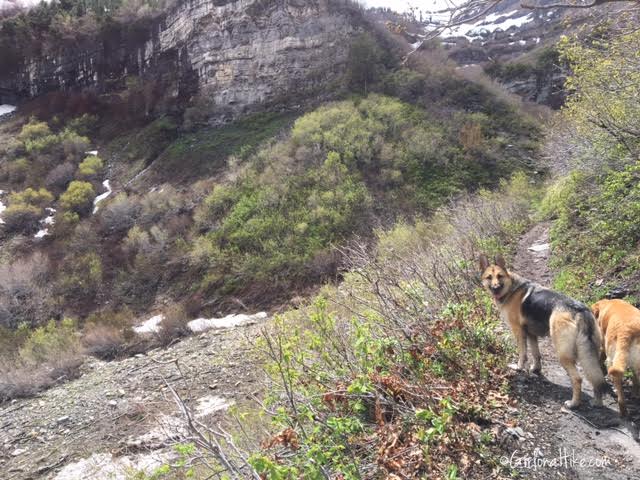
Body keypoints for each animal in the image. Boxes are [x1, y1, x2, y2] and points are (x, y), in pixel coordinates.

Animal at [480, 255, 604, 408]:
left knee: (577, 379)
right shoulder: (531, 334)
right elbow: (536, 354)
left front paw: (519, 368)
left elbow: (522, 354)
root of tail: (579, 310)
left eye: (500, 276)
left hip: (563, 354)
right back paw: (597, 402)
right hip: (591, 355)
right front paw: (536, 370)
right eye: (489, 277)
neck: (511, 288)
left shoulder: (519, 332)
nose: (496, 288)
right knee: (597, 378)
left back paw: (573, 403)